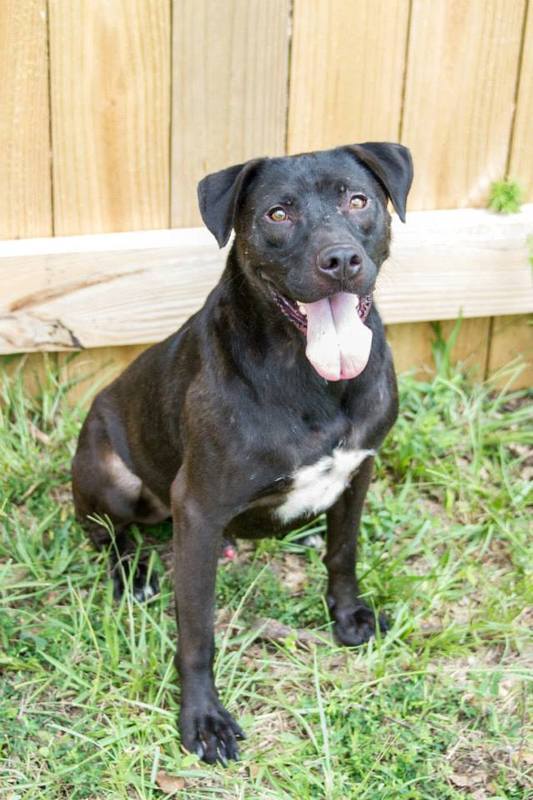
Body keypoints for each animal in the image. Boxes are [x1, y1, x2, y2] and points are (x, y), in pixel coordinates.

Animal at [71, 141, 412, 764]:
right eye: (278, 214)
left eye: (358, 200)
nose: (340, 260)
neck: (311, 376)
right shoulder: (199, 509)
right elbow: (197, 631)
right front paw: (203, 718)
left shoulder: (360, 470)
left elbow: (344, 552)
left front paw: (348, 615)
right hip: (111, 476)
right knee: (105, 533)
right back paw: (132, 577)